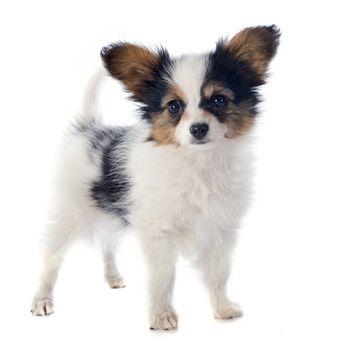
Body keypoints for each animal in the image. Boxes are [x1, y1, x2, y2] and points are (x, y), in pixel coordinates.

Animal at [31, 26, 280, 330]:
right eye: (174, 107)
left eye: (219, 100)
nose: (198, 128)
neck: (197, 162)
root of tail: (89, 129)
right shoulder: (159, 231)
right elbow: (164, 276)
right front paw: (162, 317)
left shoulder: (220, 228)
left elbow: (219, 272)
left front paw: (222, 308)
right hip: (70, 213)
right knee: (52, 258)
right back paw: (42, 300)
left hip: (110, 214)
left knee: (107, 243)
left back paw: (113, 277)